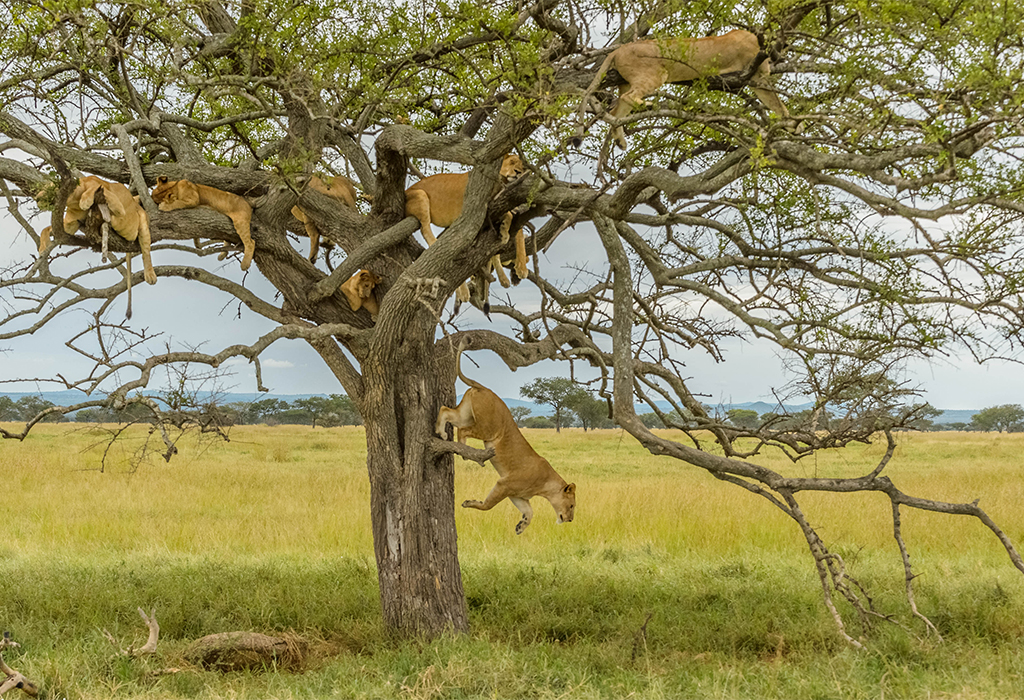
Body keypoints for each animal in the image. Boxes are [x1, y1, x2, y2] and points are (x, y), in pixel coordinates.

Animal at [405, 154, 529, 306]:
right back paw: (463, 290)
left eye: (522, 165)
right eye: (512, 162)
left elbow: (510, 220)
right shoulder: (476, 214)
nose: (518, 172)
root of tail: (406, 191)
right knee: (429, 234)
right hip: (420, 195)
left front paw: (505, 234)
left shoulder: (492, 209)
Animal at [435, 343, 576, 534]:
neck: (546, 485)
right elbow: (488, 505)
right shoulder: (505, 484)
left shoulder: (517, 495)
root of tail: (485, 388)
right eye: (572, 506)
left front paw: (521, 526)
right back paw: (462, 449)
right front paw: (469, 503)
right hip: (488, 428)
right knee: (463, 430)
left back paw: (441, 432)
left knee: (445, 410)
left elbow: (529, 512)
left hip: (465, 415)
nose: (570, 520)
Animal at [581, 28, 790, 148]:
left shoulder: (757, 79)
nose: (780, 56)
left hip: (625, 82)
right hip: (655, 74)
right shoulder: (755, 73)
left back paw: (620, 141)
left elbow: (776, 104)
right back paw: (647, 105)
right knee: (628, 99)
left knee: (616, 113)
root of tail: (618, 49)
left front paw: (791, 125)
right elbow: (775, 100)